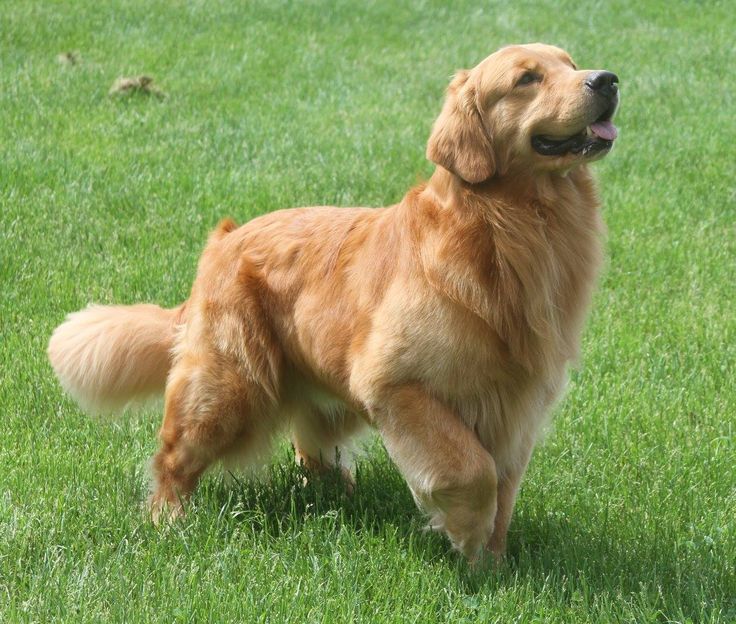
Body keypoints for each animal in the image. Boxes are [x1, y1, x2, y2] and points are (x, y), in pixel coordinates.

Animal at [47, 42, 620, 560]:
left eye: (571, 63)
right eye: (527, 78)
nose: (608, 79)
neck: (509, 230)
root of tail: (222, 241)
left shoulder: (517, 405)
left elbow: (504, 487)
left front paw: (492, 566)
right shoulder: (394, 383)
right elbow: (470, 469)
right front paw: (465, 533)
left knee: (311, 450)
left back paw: (337, 493)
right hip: (228, 388)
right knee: (174, 457)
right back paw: (167, 522)